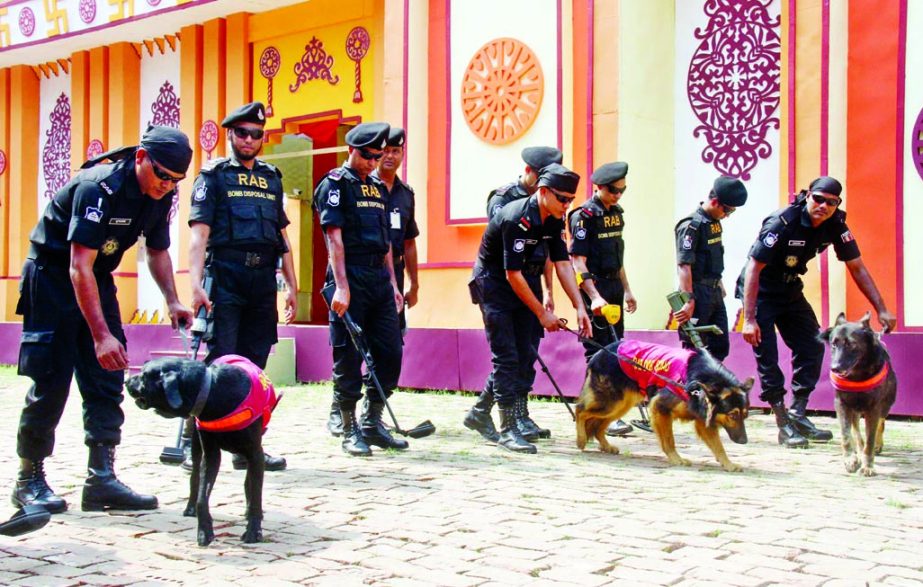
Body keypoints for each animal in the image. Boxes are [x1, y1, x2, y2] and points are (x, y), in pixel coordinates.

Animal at [125, 354, 282, 548]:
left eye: (144, 375)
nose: (126, 381)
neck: (214, 391)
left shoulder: (255, 453)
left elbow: (255, 494)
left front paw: (254, 530)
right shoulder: (210, 454)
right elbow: (202, 496)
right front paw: (204, 531)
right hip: (196, 447)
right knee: (194, 479)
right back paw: (190, 507)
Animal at [572, 340, 756, 474]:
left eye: (745, 415)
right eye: (732, 415)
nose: (744, 441)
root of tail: (598, 353)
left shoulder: (702, 418)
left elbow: (718, 446)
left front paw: (728, 463)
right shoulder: (660, 408)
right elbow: (669, 440)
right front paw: (676, 459)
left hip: (620, 405)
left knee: (598, 425)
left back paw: (605, 446)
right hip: (610, 402)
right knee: (580, 410)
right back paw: (581, 440)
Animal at [820, 314, 900, 476]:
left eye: (851, 344)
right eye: (833, 344)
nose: (834, 368)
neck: (857, 376)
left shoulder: (874, 408)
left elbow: (870, 438)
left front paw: (868, 466)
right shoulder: (842, 404)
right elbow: (846, 435)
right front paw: (850, 459)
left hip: (885, 405)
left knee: (881, 423)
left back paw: (877, 445)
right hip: (854, 410)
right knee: (856, 431)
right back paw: (858, 451)